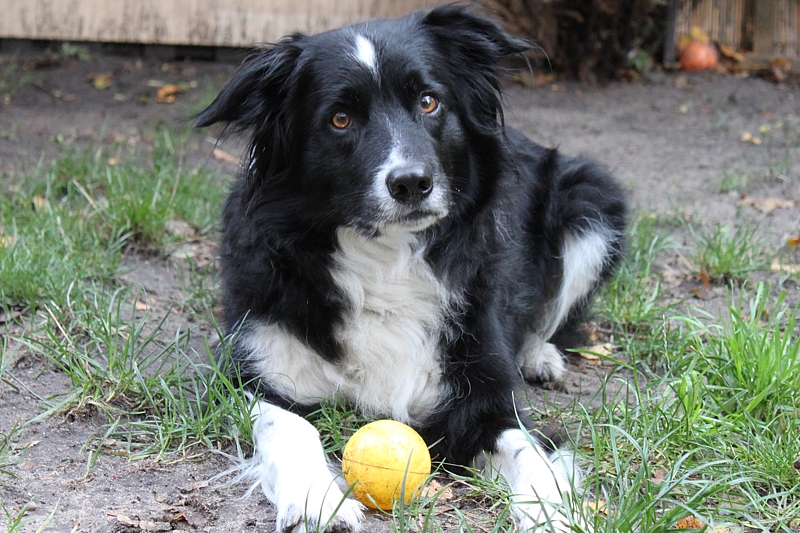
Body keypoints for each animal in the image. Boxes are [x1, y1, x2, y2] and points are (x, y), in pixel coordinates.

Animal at [197, 5, 628, 532]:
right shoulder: (256, 369)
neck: (386, 258)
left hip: (591, 199)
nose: (411, 183)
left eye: (428, 102)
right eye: (340, 119)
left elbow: (527, 451)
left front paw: (552, 513)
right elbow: (289, 424)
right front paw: (317, 498)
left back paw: (538, 355)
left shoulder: (483, 390)